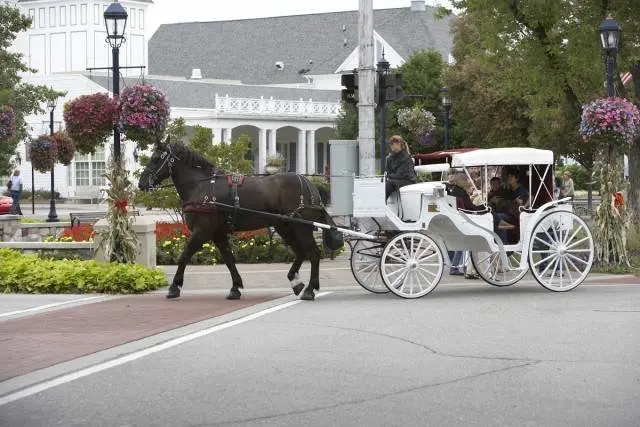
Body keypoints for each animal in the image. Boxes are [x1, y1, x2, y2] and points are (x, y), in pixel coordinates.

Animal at [139, 140, 340, 300]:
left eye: (157, 158)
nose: (141, 183)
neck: (202, 186)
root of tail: (310, 185)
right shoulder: (218, 233)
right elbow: (229, 260)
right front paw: (235, 287)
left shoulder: (202, 231)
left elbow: (184, 256)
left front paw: (174, 287)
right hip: (285, 226)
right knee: (301, 252)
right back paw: (295, 281)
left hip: (301, 227)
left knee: (313, 253)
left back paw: (310, 289)